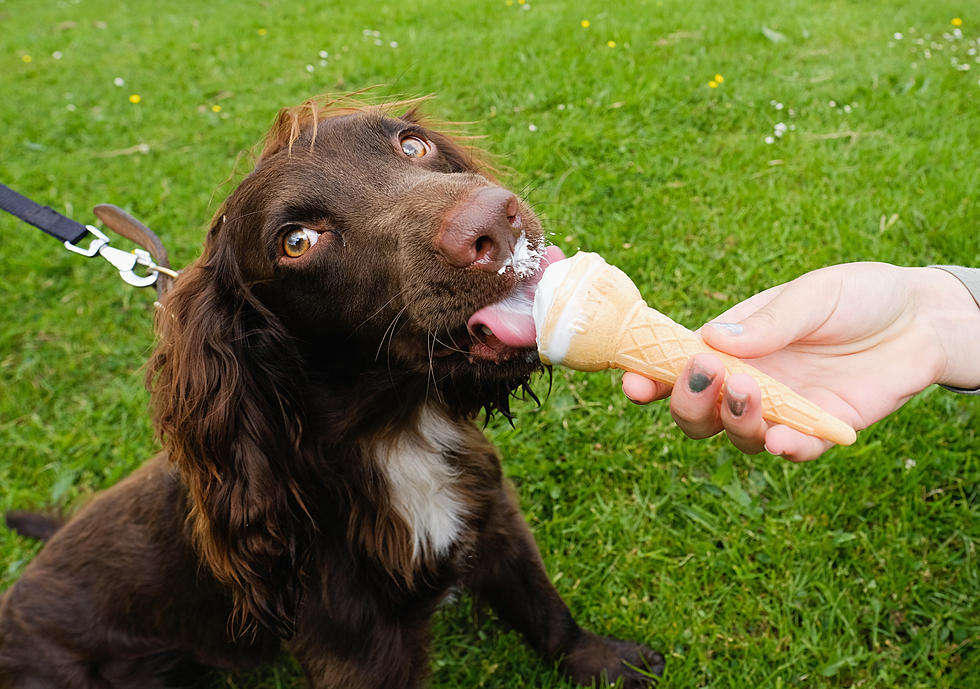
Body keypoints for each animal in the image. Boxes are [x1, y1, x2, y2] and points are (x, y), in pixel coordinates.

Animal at [0, 97, 668, 688]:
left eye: (413, 145)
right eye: (297, 241)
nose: (494, 222)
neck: (393, 429)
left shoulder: (495, 516)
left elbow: (543, 606)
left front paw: (603, 661)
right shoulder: (354, 648)